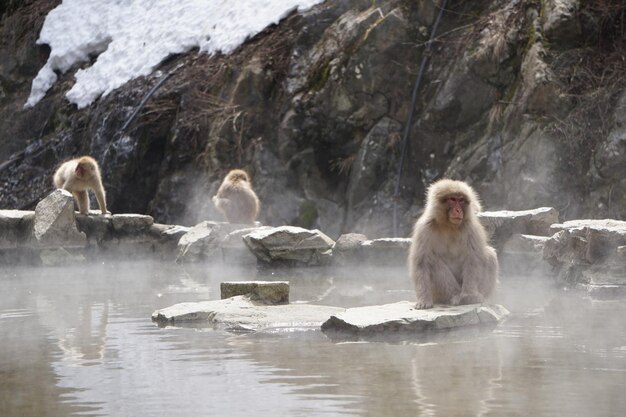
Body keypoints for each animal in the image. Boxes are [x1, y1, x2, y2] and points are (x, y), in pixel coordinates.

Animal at [410, 179, 498, 308]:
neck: (449, 225)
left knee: (489, 255)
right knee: (432, 261)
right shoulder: (424, 228)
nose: (458, 210)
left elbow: (473, 260)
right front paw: (424, 300)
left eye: (461, 200)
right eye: (452, 199)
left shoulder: (471, 228)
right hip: (437, 293)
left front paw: (470, 295)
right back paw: (454, 296)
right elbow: (422, 263)